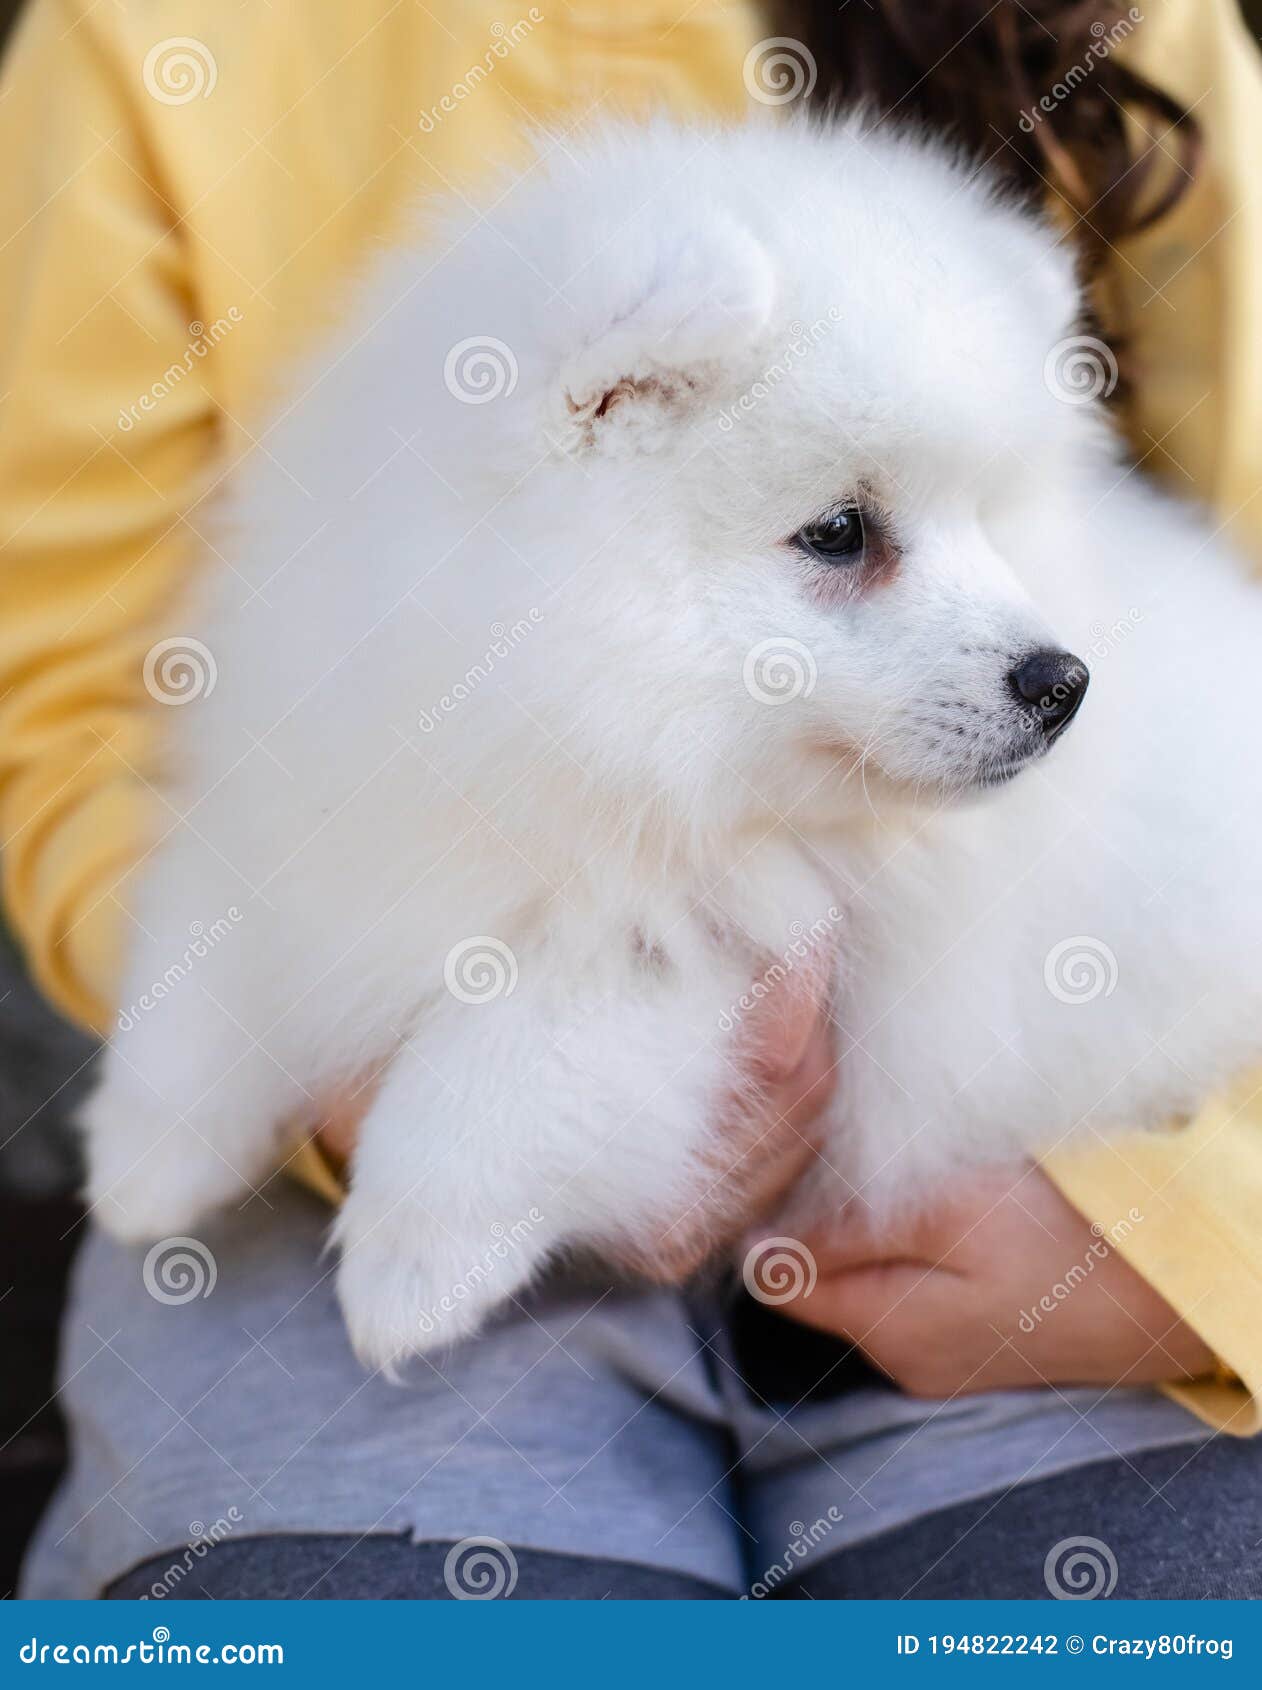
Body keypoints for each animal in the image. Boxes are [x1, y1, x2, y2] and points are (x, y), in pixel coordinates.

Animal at [84, 119, 1262, 1365]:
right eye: (838, 532)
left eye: (986, 520)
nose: (1060, 683)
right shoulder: (306, 786)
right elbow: (203, 951)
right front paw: (143, 1157)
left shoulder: (722, 946)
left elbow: (509, 1060)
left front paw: (410, 1262)